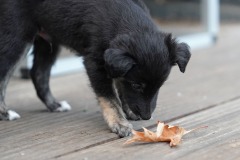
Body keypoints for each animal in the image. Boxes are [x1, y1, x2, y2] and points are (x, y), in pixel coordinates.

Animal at [0, 0, 191, 138]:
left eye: (160, 86)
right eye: (137, 85)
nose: (146, 117)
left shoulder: (115, 64)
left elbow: (121, 87)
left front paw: (128, 111)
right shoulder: (95, 63)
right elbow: (110, 98)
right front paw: (119, 123)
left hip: (48, 39)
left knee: (38, 73)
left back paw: (54, 105)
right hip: (17, 35)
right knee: (4, 74)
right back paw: (5, 113)